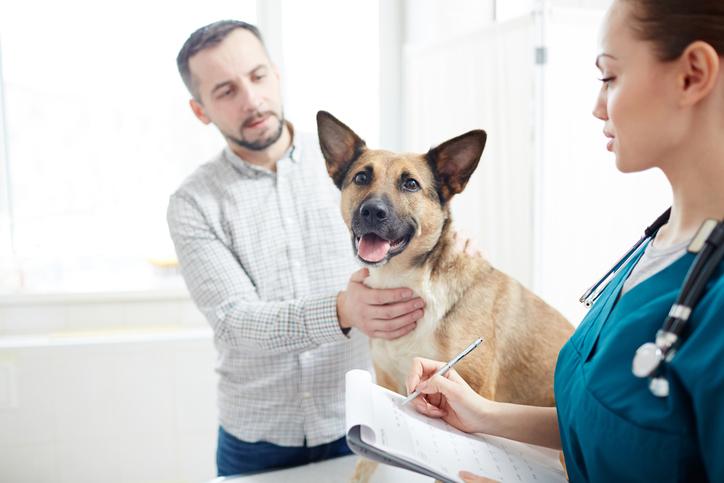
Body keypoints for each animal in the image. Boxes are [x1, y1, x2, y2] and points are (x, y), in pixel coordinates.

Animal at [316, 111, 572, 482]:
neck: (407, 281)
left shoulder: (470, 388)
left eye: (410, 184)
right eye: (361, 177)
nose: (372, 211)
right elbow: (365, 464)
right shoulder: (385, 381)